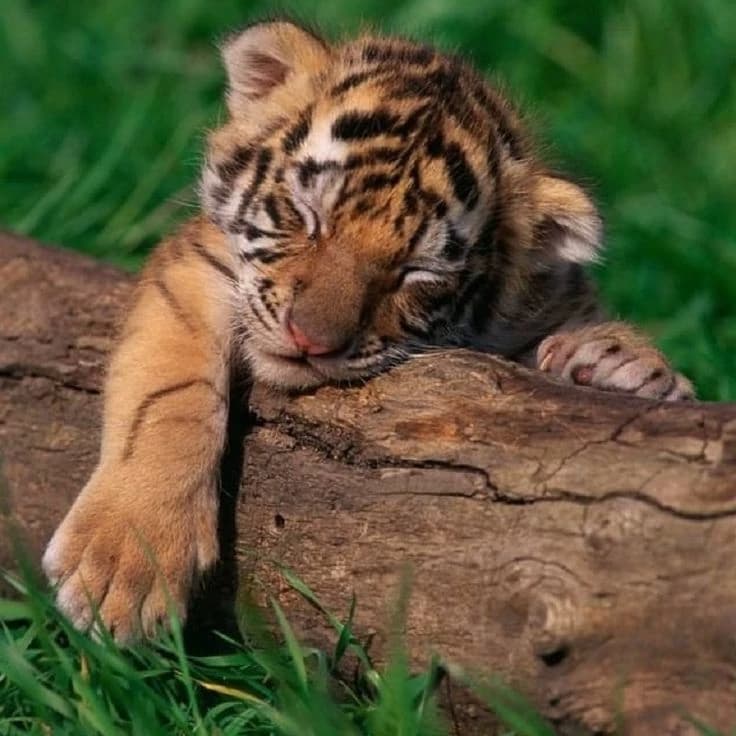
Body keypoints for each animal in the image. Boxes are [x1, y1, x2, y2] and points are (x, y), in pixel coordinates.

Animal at [42, 20, 694, 643]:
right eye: (308, 215)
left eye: (418, 271)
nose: (311, 340)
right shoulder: (195, 268)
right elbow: (167, 394)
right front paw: (124, 566)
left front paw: (620, 362)